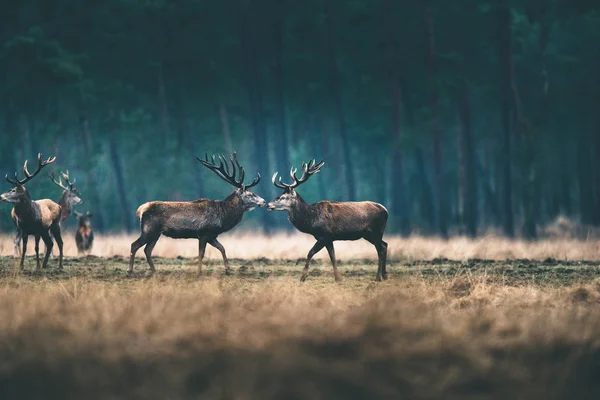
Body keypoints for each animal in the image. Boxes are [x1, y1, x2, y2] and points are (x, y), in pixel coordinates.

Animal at [128, 152, 264, 276]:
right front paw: (199, 272)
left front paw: (227, 270)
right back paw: (130, 271)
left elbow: (222, 248)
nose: (263, 201)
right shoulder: (203, 232)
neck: (222, 216)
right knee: (135, 245)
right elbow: (201, 254)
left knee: (147, 250)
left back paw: (154, 271)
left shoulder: (212, 235)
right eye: (250, 194)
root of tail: (140, 210)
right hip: (149, 230)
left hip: (156, 233)